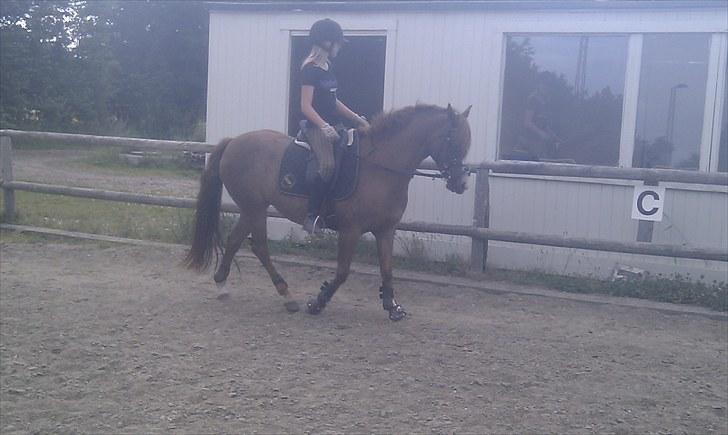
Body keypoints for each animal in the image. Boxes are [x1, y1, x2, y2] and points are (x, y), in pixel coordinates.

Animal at [184, 103, 472, 321]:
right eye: (453, 142)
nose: (461, 183)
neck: (380, 167)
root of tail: (234, 141)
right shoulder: (351, 230)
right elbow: (343, 271)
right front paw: (318, 302)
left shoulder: (385, 229)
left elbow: (387, 268)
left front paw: (393, 307)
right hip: (254, 208)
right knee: (260, 247)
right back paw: (286, 295)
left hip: (251, 208)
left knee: (235, 240)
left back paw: (222, 285)